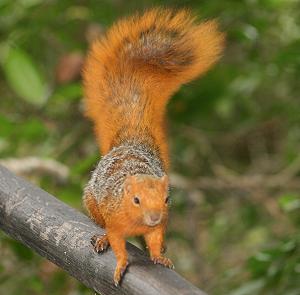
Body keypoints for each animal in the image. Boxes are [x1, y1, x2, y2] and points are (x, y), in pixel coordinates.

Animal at [81, 8, 223, 288]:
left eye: (166, 198)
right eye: (135, 200)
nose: (155, 216)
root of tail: (132, 141)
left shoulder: (158, 224)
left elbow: (156, 239)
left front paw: (159, 256)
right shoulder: (115, 217)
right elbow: (116, 241)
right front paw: (118, 260)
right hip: (92, 200)